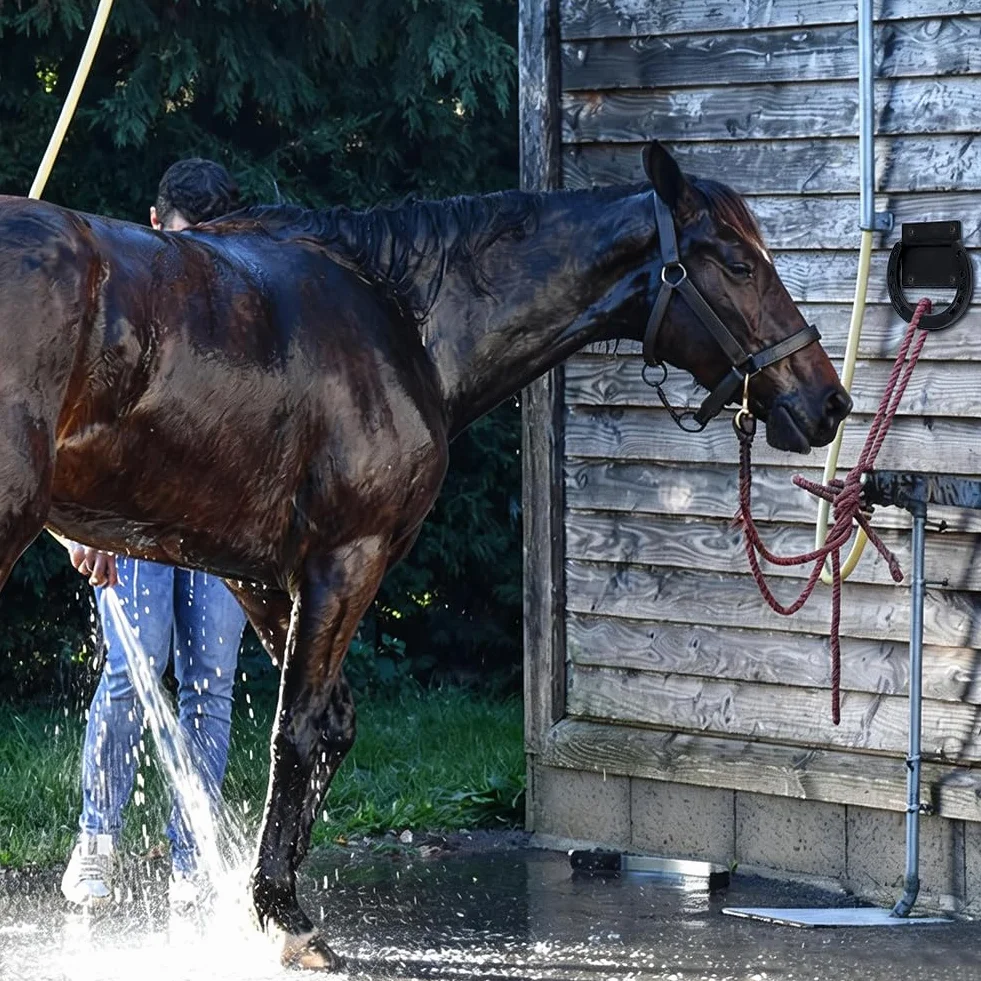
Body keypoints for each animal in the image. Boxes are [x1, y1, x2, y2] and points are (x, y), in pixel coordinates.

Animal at [0, 141, 850, 968]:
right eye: (737, 264)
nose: (827, 402)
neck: (400, 315)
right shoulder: (344, 559)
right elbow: (299, 729)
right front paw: (281, 914)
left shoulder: (256, 577)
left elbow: (330, 724)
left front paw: (271, 900)